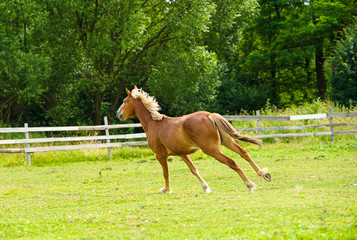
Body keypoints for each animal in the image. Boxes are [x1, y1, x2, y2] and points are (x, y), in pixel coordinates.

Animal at [117, 86, 270, 193]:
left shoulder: (160, 155)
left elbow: (166, 173)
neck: (153, 124)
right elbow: (194, 170)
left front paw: (166, 189)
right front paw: (205, 187)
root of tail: (209, 115)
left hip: (212, 150)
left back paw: (249, 185)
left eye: (124, 101)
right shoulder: (182, 154)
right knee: (243, 152)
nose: (118, 114)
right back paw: (263, 174)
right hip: (227, 142)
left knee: (231, 161)